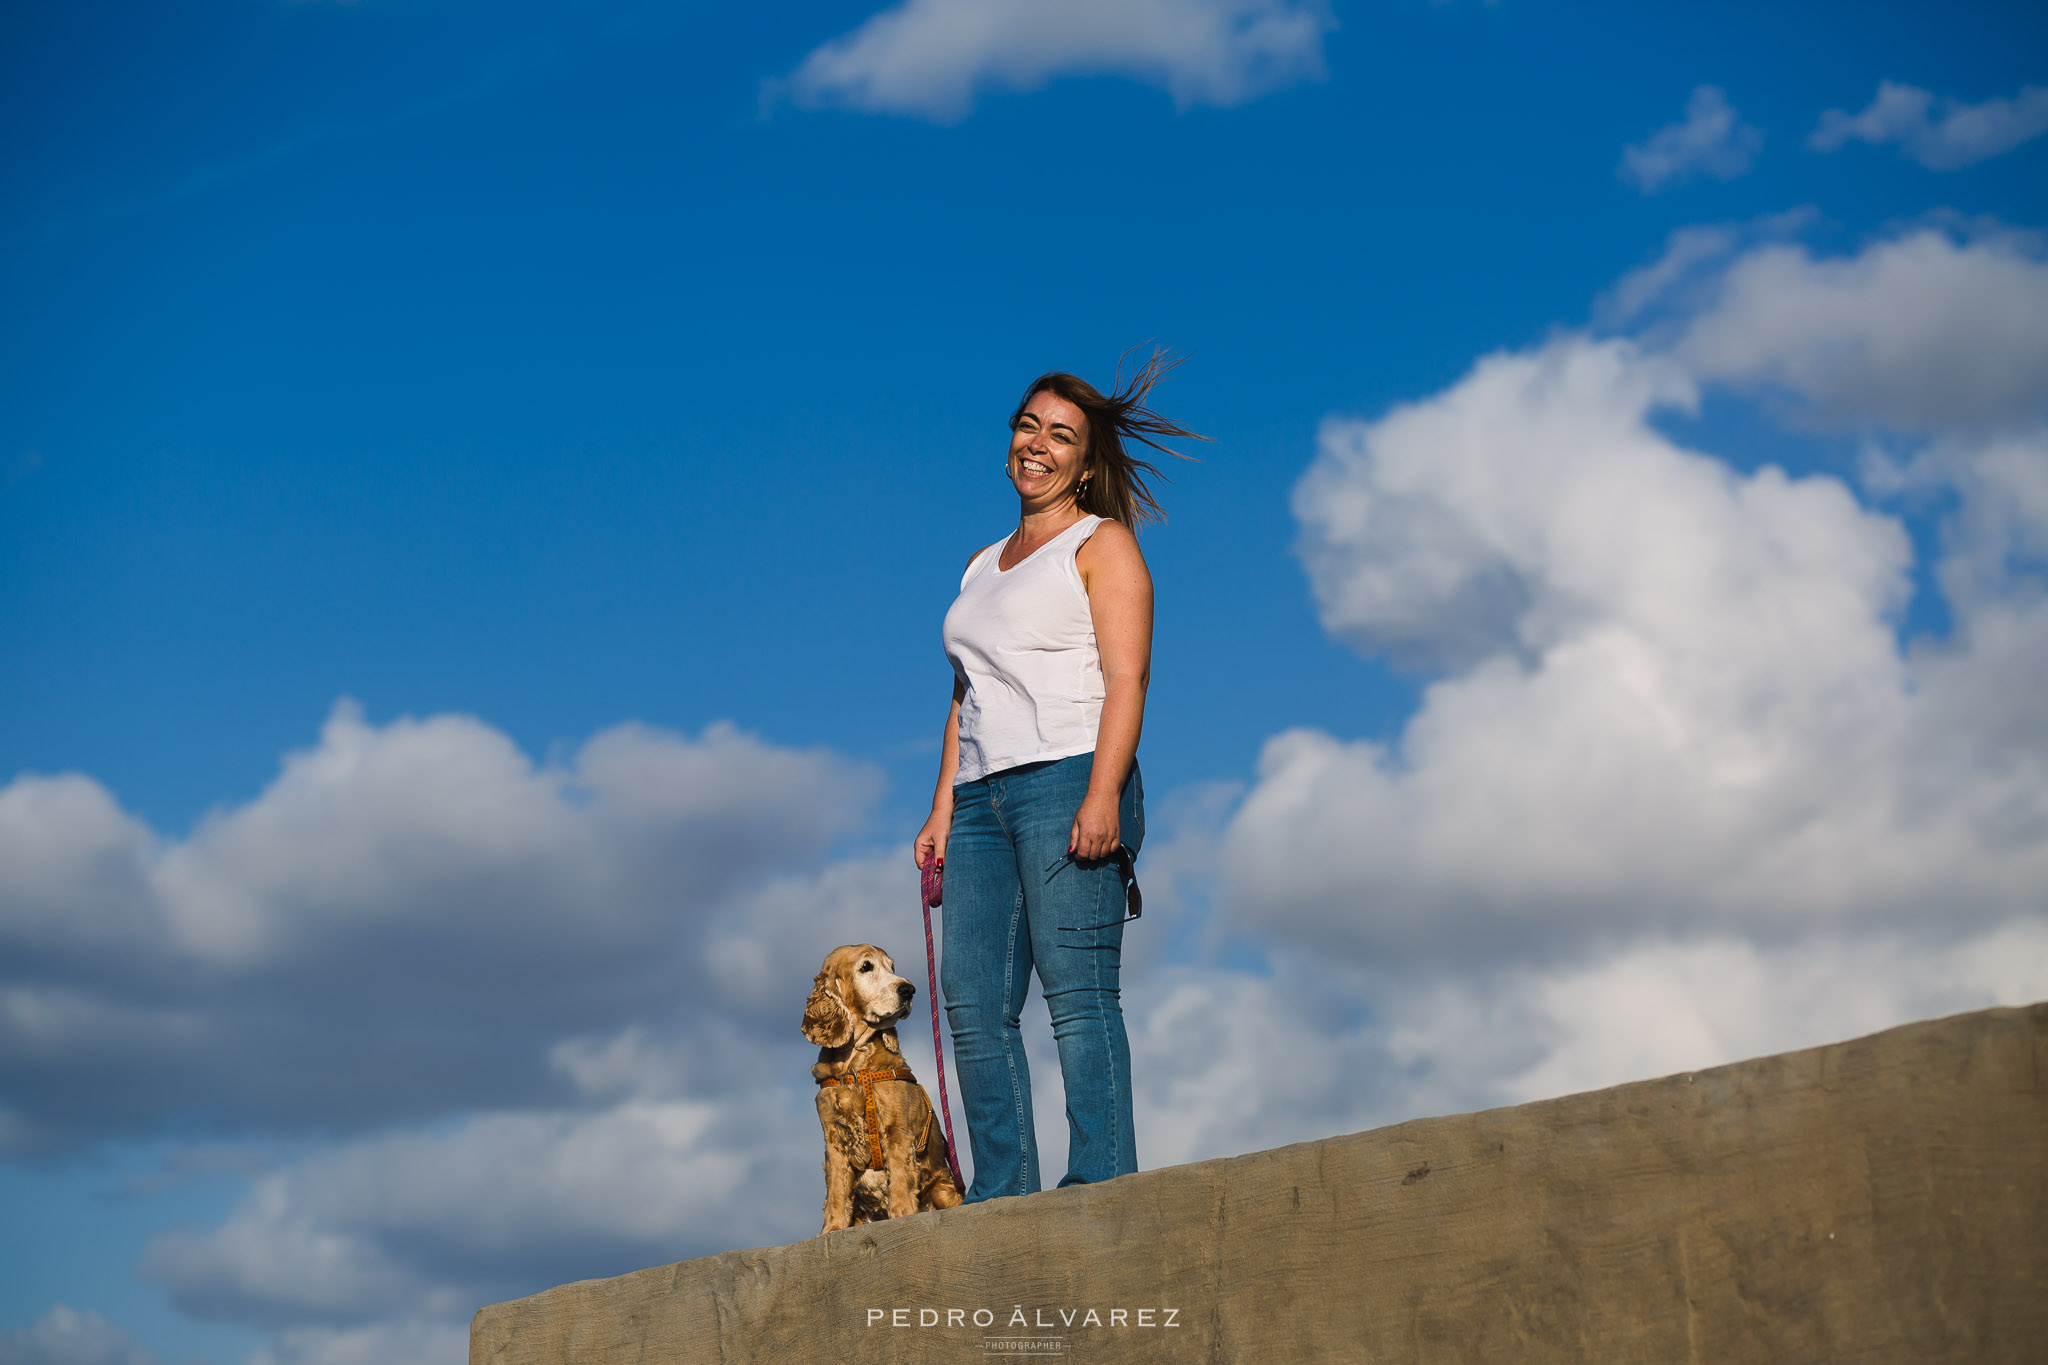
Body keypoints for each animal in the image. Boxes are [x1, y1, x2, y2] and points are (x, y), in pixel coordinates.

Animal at [798, 945, 958, 1236]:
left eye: (892, 967)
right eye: (866, 967)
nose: (909, 990)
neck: (854, 1067)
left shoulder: (898, 1131)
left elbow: (901, 1182)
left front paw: (903, 1217)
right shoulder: (834, 1140)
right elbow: (836, 1192)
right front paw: (831, 1230)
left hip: (944, 1189)